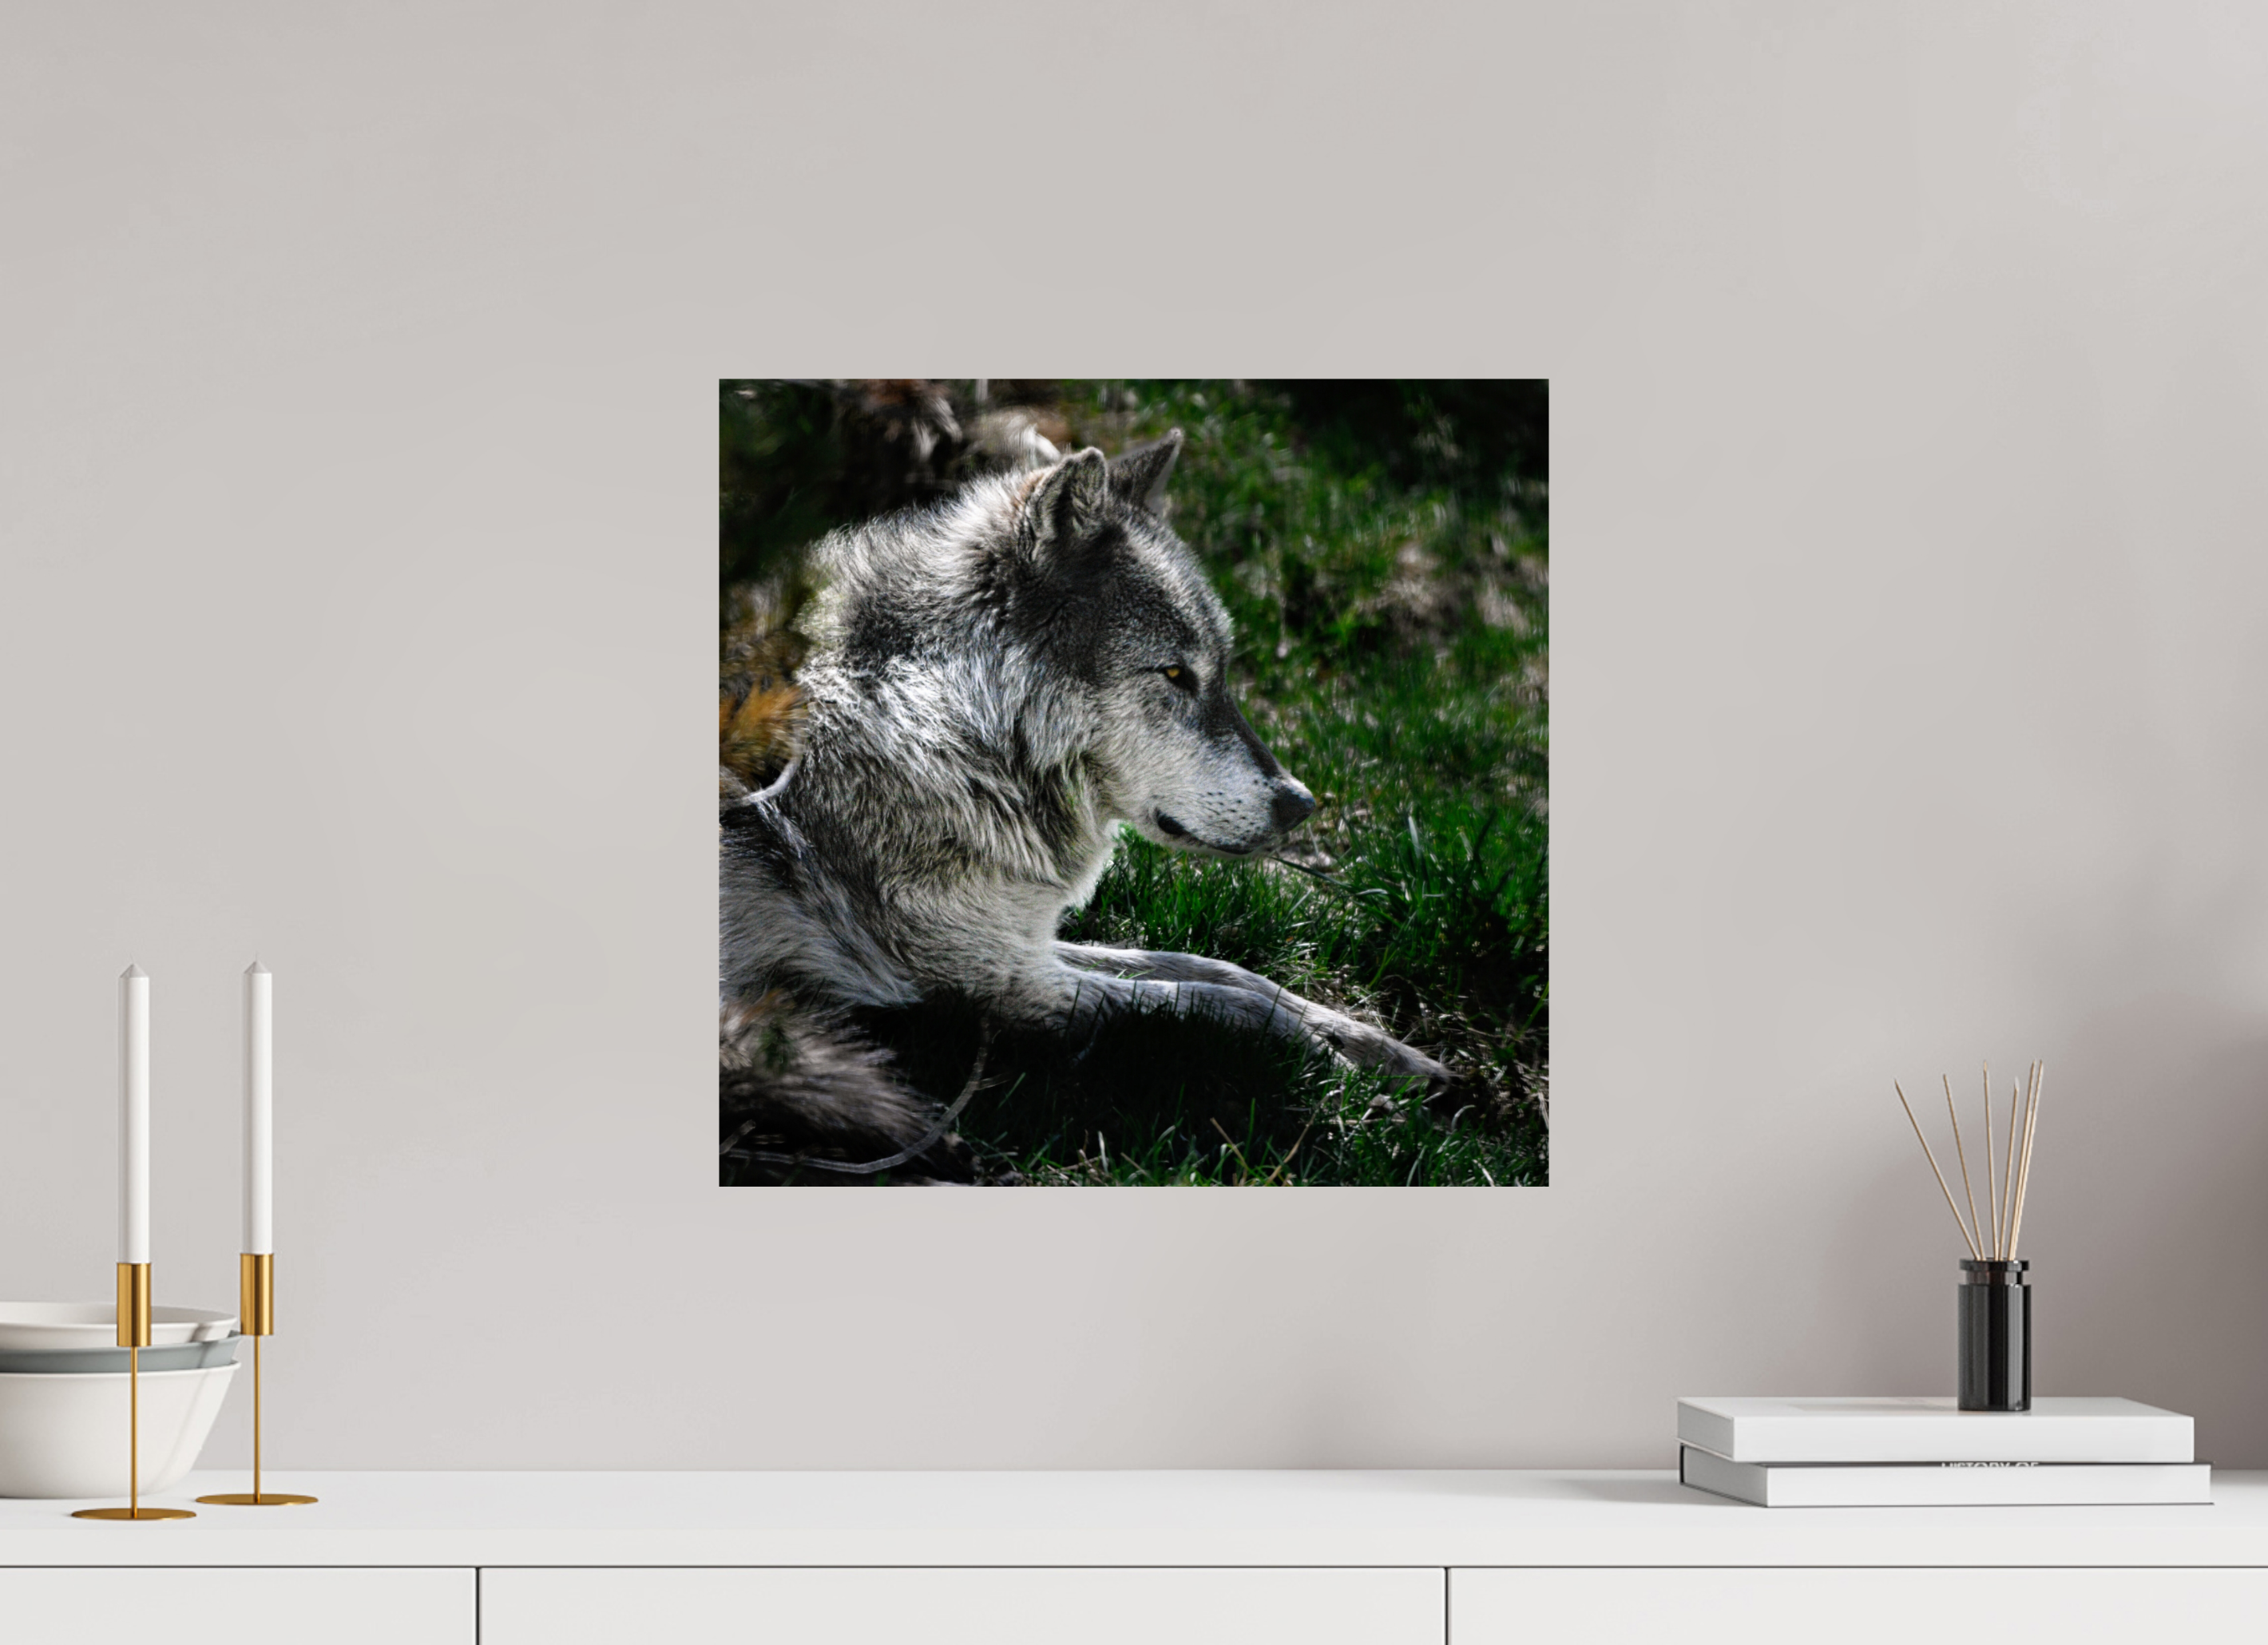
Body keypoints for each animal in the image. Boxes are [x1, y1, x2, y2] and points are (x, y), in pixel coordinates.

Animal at [719, 430, 1450, 1095]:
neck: (935, 719)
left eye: (1221, 672)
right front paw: (1327, 1062)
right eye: (1175, 673)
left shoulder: (1020, 939)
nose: (1301, 804)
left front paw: (1381, 1048)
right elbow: (1214, 1002)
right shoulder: (997, 982)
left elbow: (1217, 968)